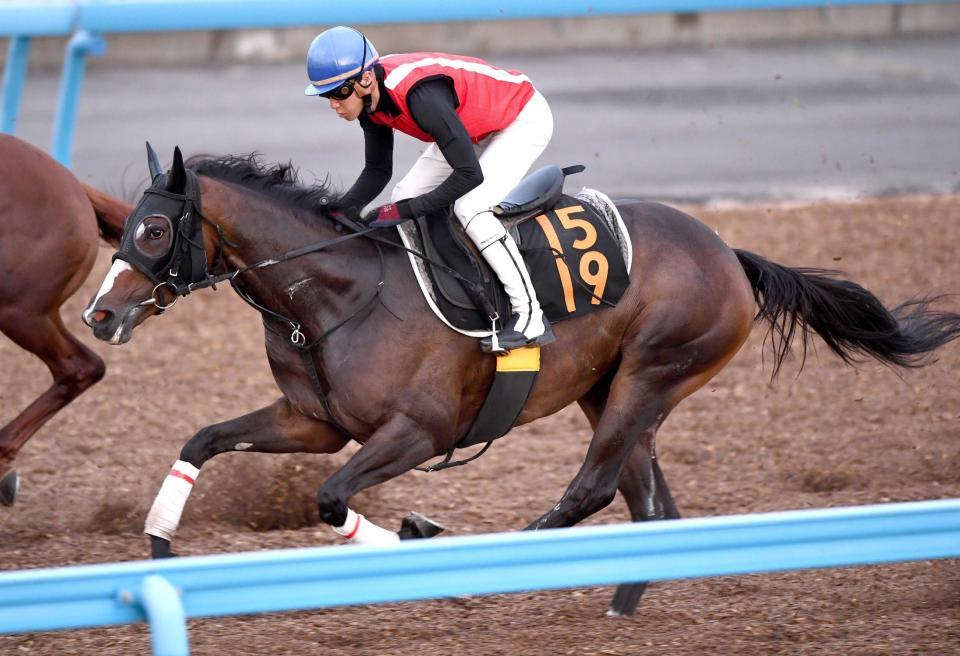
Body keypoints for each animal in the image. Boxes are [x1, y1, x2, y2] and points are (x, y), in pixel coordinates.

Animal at [80, 147, 960, 616]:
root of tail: (729, 253)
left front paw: (418, 537)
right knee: (648, 502)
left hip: (652, 372)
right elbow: (205, 438)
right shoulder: (314, 421)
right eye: (122, 224)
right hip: (613, 389)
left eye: (152, 229)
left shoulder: (418, 432)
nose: (98, 312)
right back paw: (620, 600)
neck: (337, 291)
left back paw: (507, 565)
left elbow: (331, 499)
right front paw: (158, 538)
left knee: (593, 489)